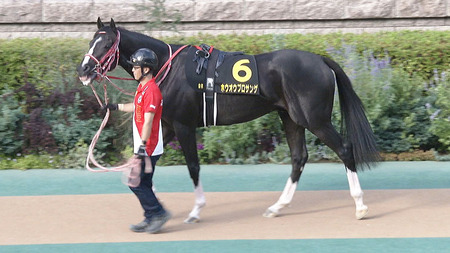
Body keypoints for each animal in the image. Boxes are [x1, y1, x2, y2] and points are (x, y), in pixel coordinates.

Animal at [77, 17, 380, 222]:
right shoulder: (167, 124)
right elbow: (144, 156)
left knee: (344, 149)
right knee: (299, 157)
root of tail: (320, 60)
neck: (167, 66)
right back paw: (278, 206)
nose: (84, 70)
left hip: (314, 119)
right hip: (291, 117)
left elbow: (193, 167)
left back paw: (360, 205)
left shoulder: (184, 125)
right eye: (91, 41)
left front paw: (196, 210)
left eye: (106, 43)